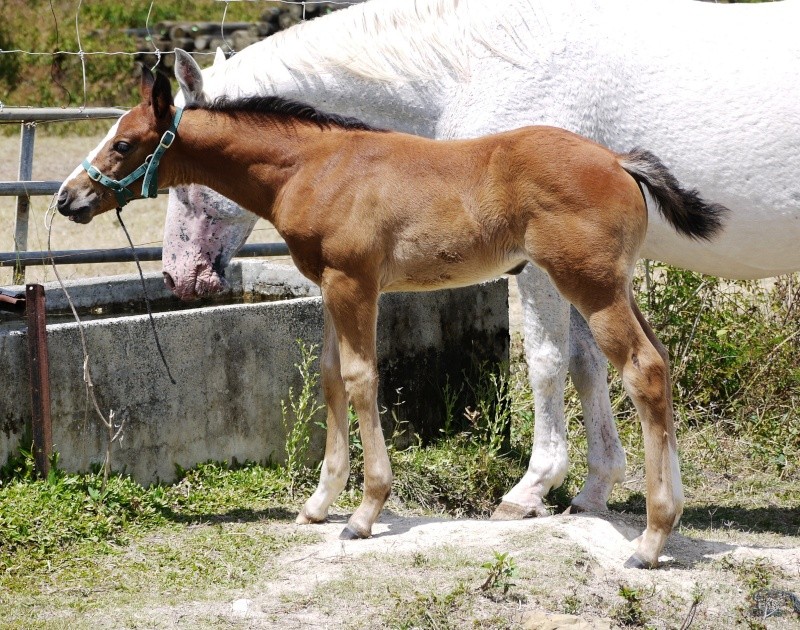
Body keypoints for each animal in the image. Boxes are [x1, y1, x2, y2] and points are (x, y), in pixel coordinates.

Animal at [59, 66, 728, 572]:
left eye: (123, 143)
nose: (68, 199)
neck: (315, 166)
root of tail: (619, 160)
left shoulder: (356, 283)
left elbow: (361, 379)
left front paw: (363, 513)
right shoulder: (330, 286)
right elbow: (331, 379)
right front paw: (318, 503)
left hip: (590, 288)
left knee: (642, 370)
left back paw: (650, 540)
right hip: (614, 285)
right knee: (661, 363)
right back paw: (669, 515)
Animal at [156, 0, 800, 524]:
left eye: (180, 171)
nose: (179, 276)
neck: (484, 58)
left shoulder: (541, 269)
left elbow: (546, 362)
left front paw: (531, 489)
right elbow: (587, 364)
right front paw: (597, 490)